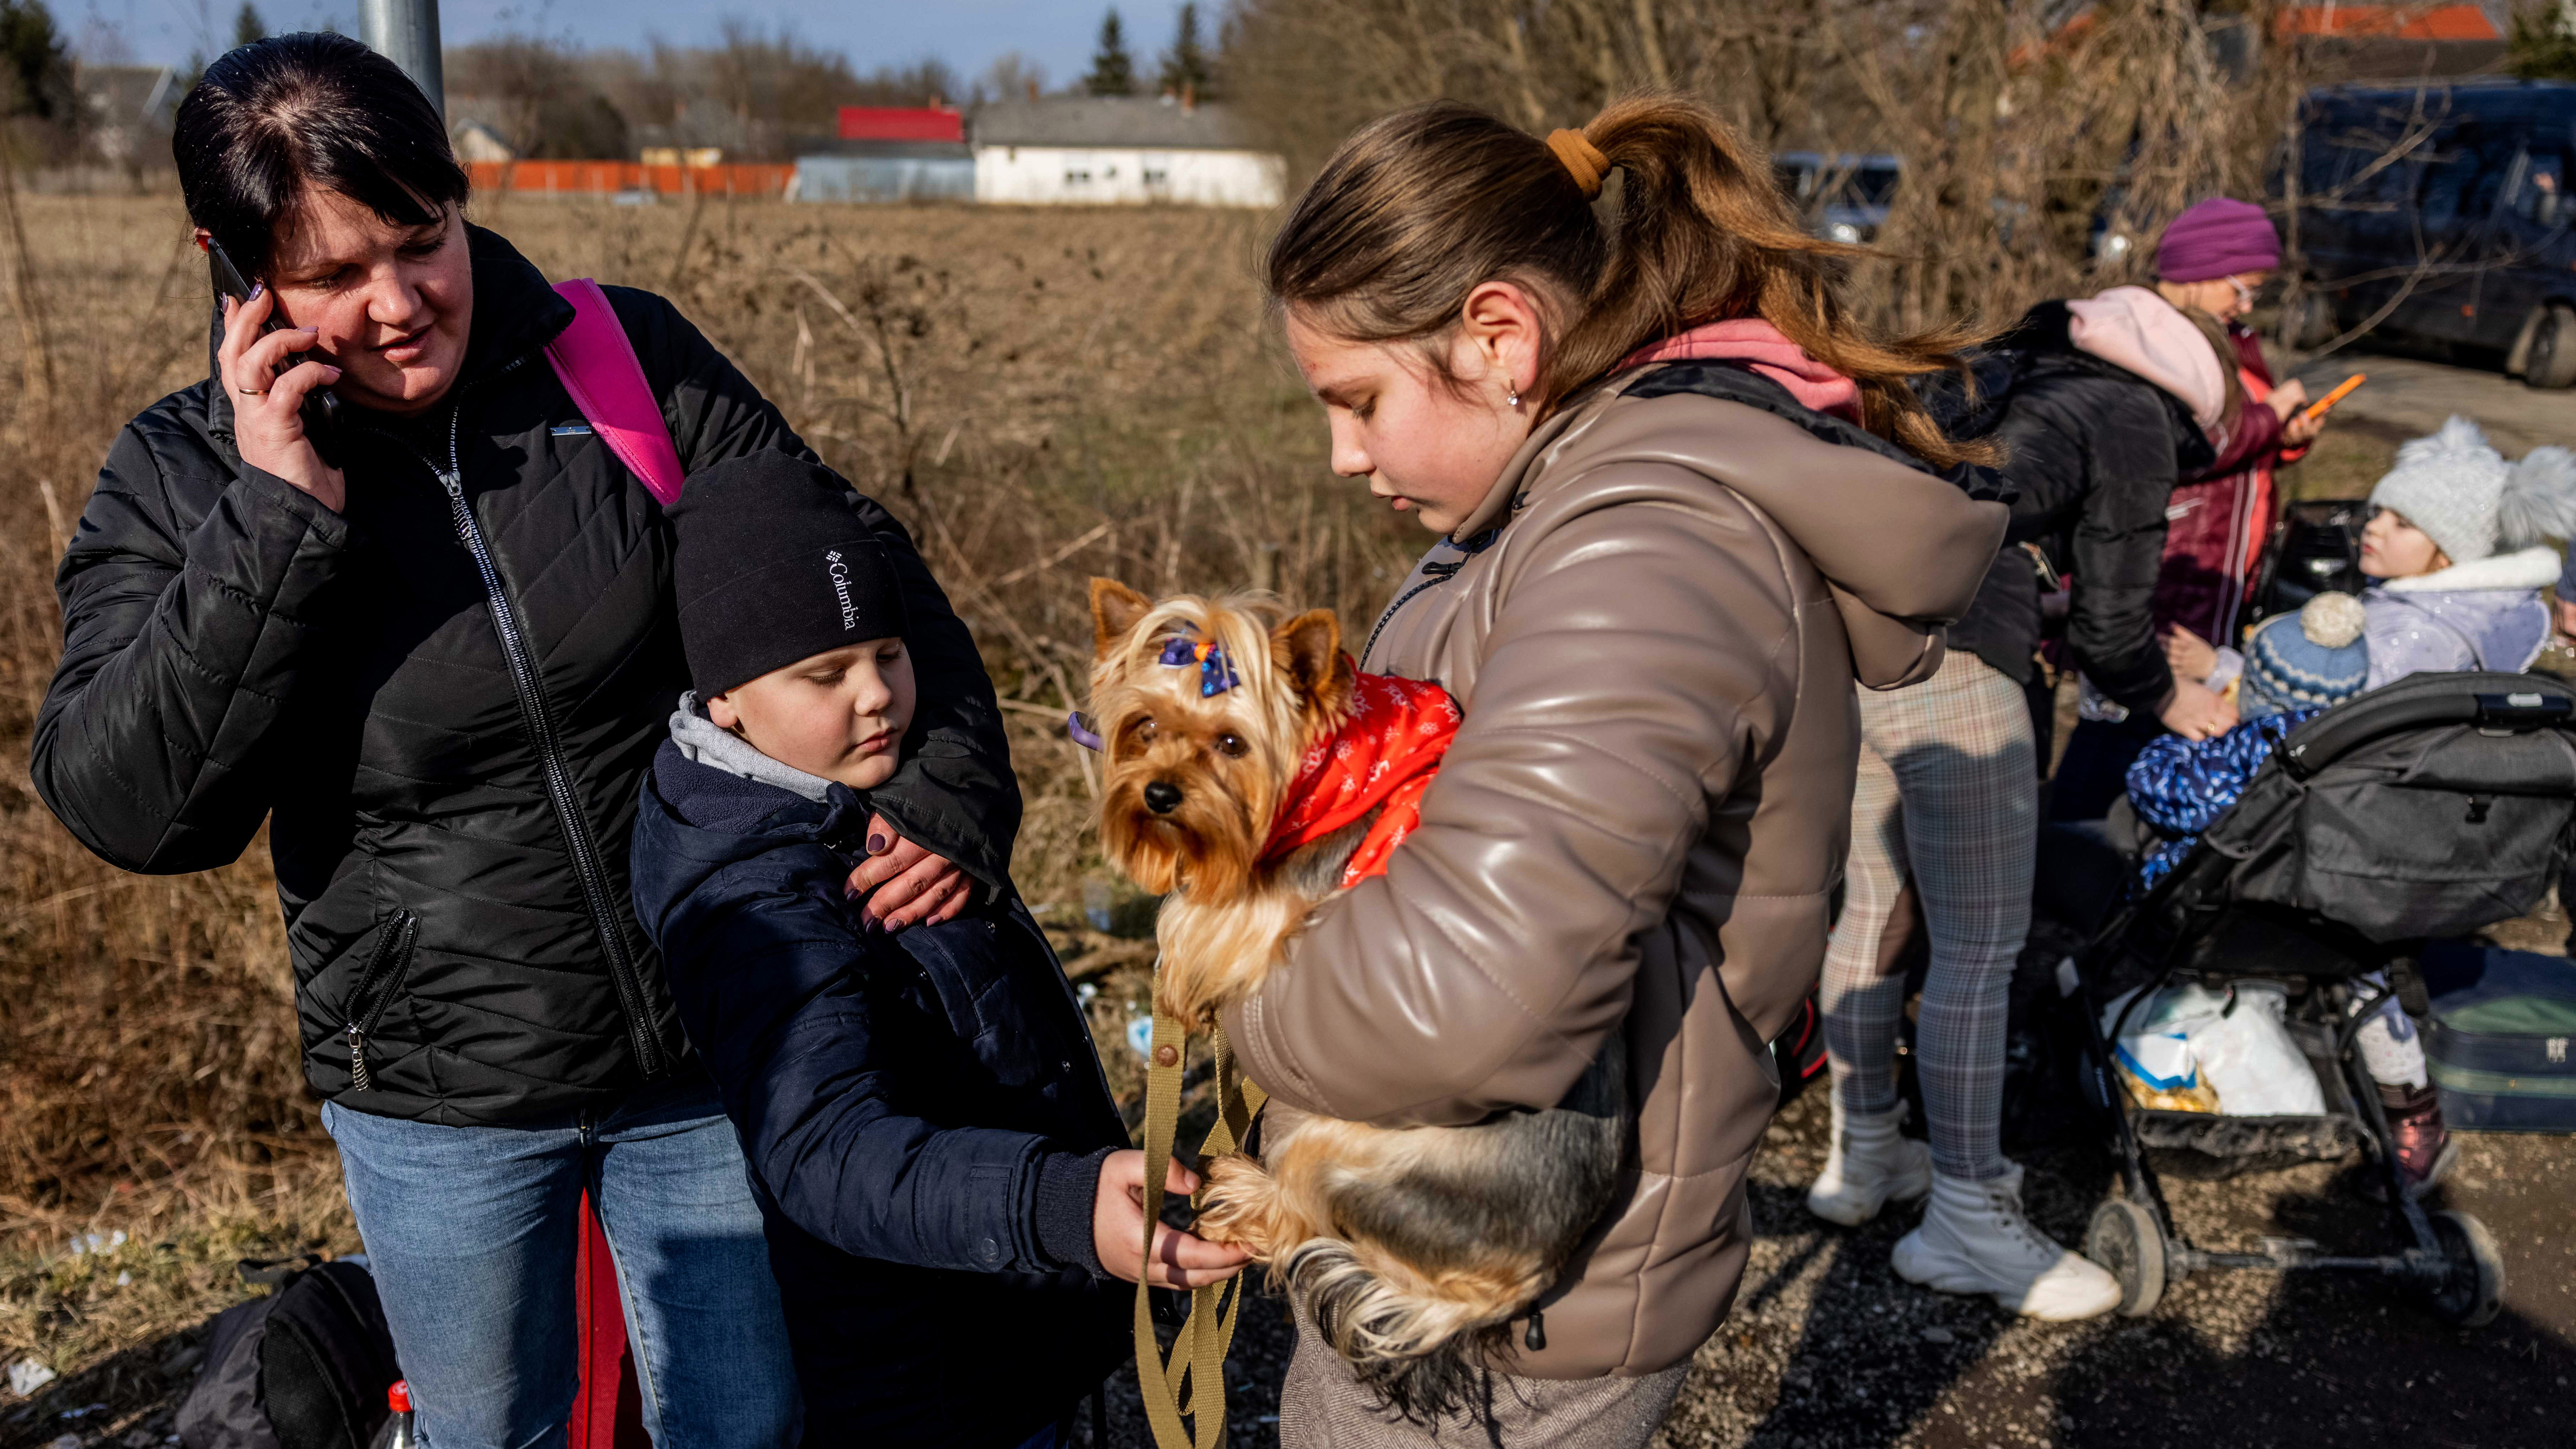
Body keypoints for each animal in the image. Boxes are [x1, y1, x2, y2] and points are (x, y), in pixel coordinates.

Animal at [1087, 572, 1628, 1413]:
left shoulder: (1277, 910)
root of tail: (1508, 1287)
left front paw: (1177, 967)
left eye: (1232, 743)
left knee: (1297, 1216)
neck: (1326, 771)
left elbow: (1195, 921)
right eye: (1144, 727)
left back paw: (1241, 1191)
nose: (1158, 796)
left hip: (1332, 1148)